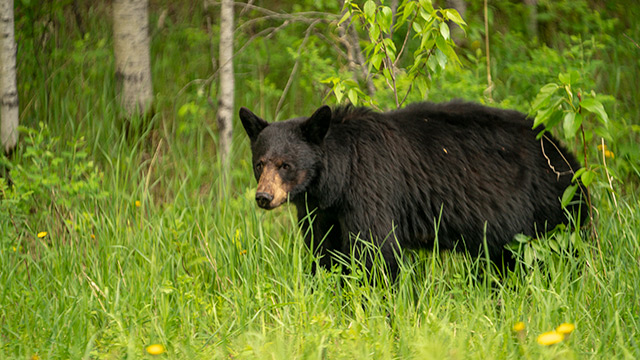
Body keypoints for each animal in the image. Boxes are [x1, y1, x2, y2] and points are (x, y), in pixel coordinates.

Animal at [239, 101, 584, 276]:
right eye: (260, 163)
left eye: (285, 165)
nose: (264, 197)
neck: (338, 179)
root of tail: (568, 156)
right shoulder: (321, 211)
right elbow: (325, 252)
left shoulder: (372, 188)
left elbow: (377, 253)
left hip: (550, 209)